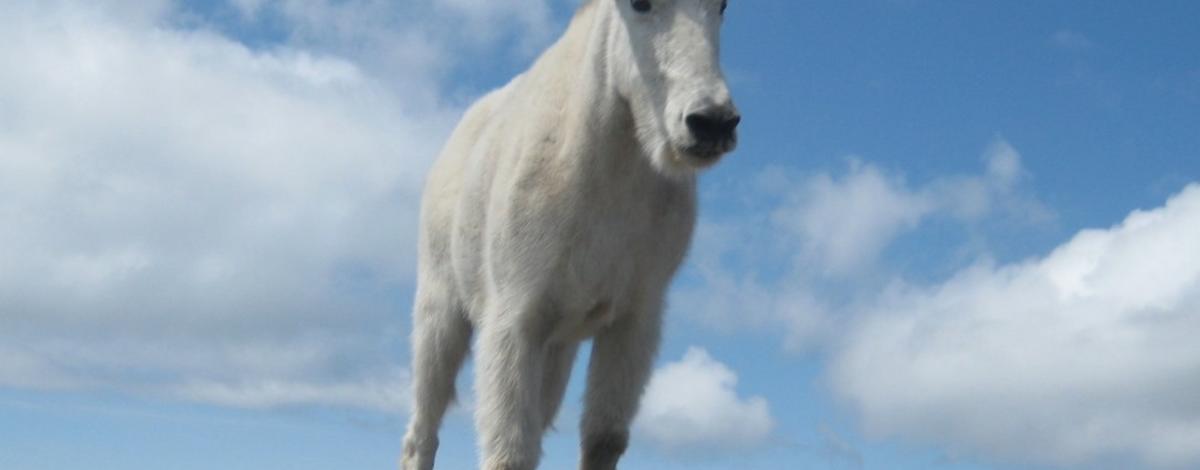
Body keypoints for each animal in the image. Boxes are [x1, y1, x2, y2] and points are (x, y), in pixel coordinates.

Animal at [403, 1, 739, 467]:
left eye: (723, 6)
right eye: (639, 5)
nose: (712, 123)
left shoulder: (634, 317)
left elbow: (604, 438)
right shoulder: (513, 317)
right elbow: (509, 451)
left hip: (557, 347)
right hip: (439, 308)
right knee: (423, 429)